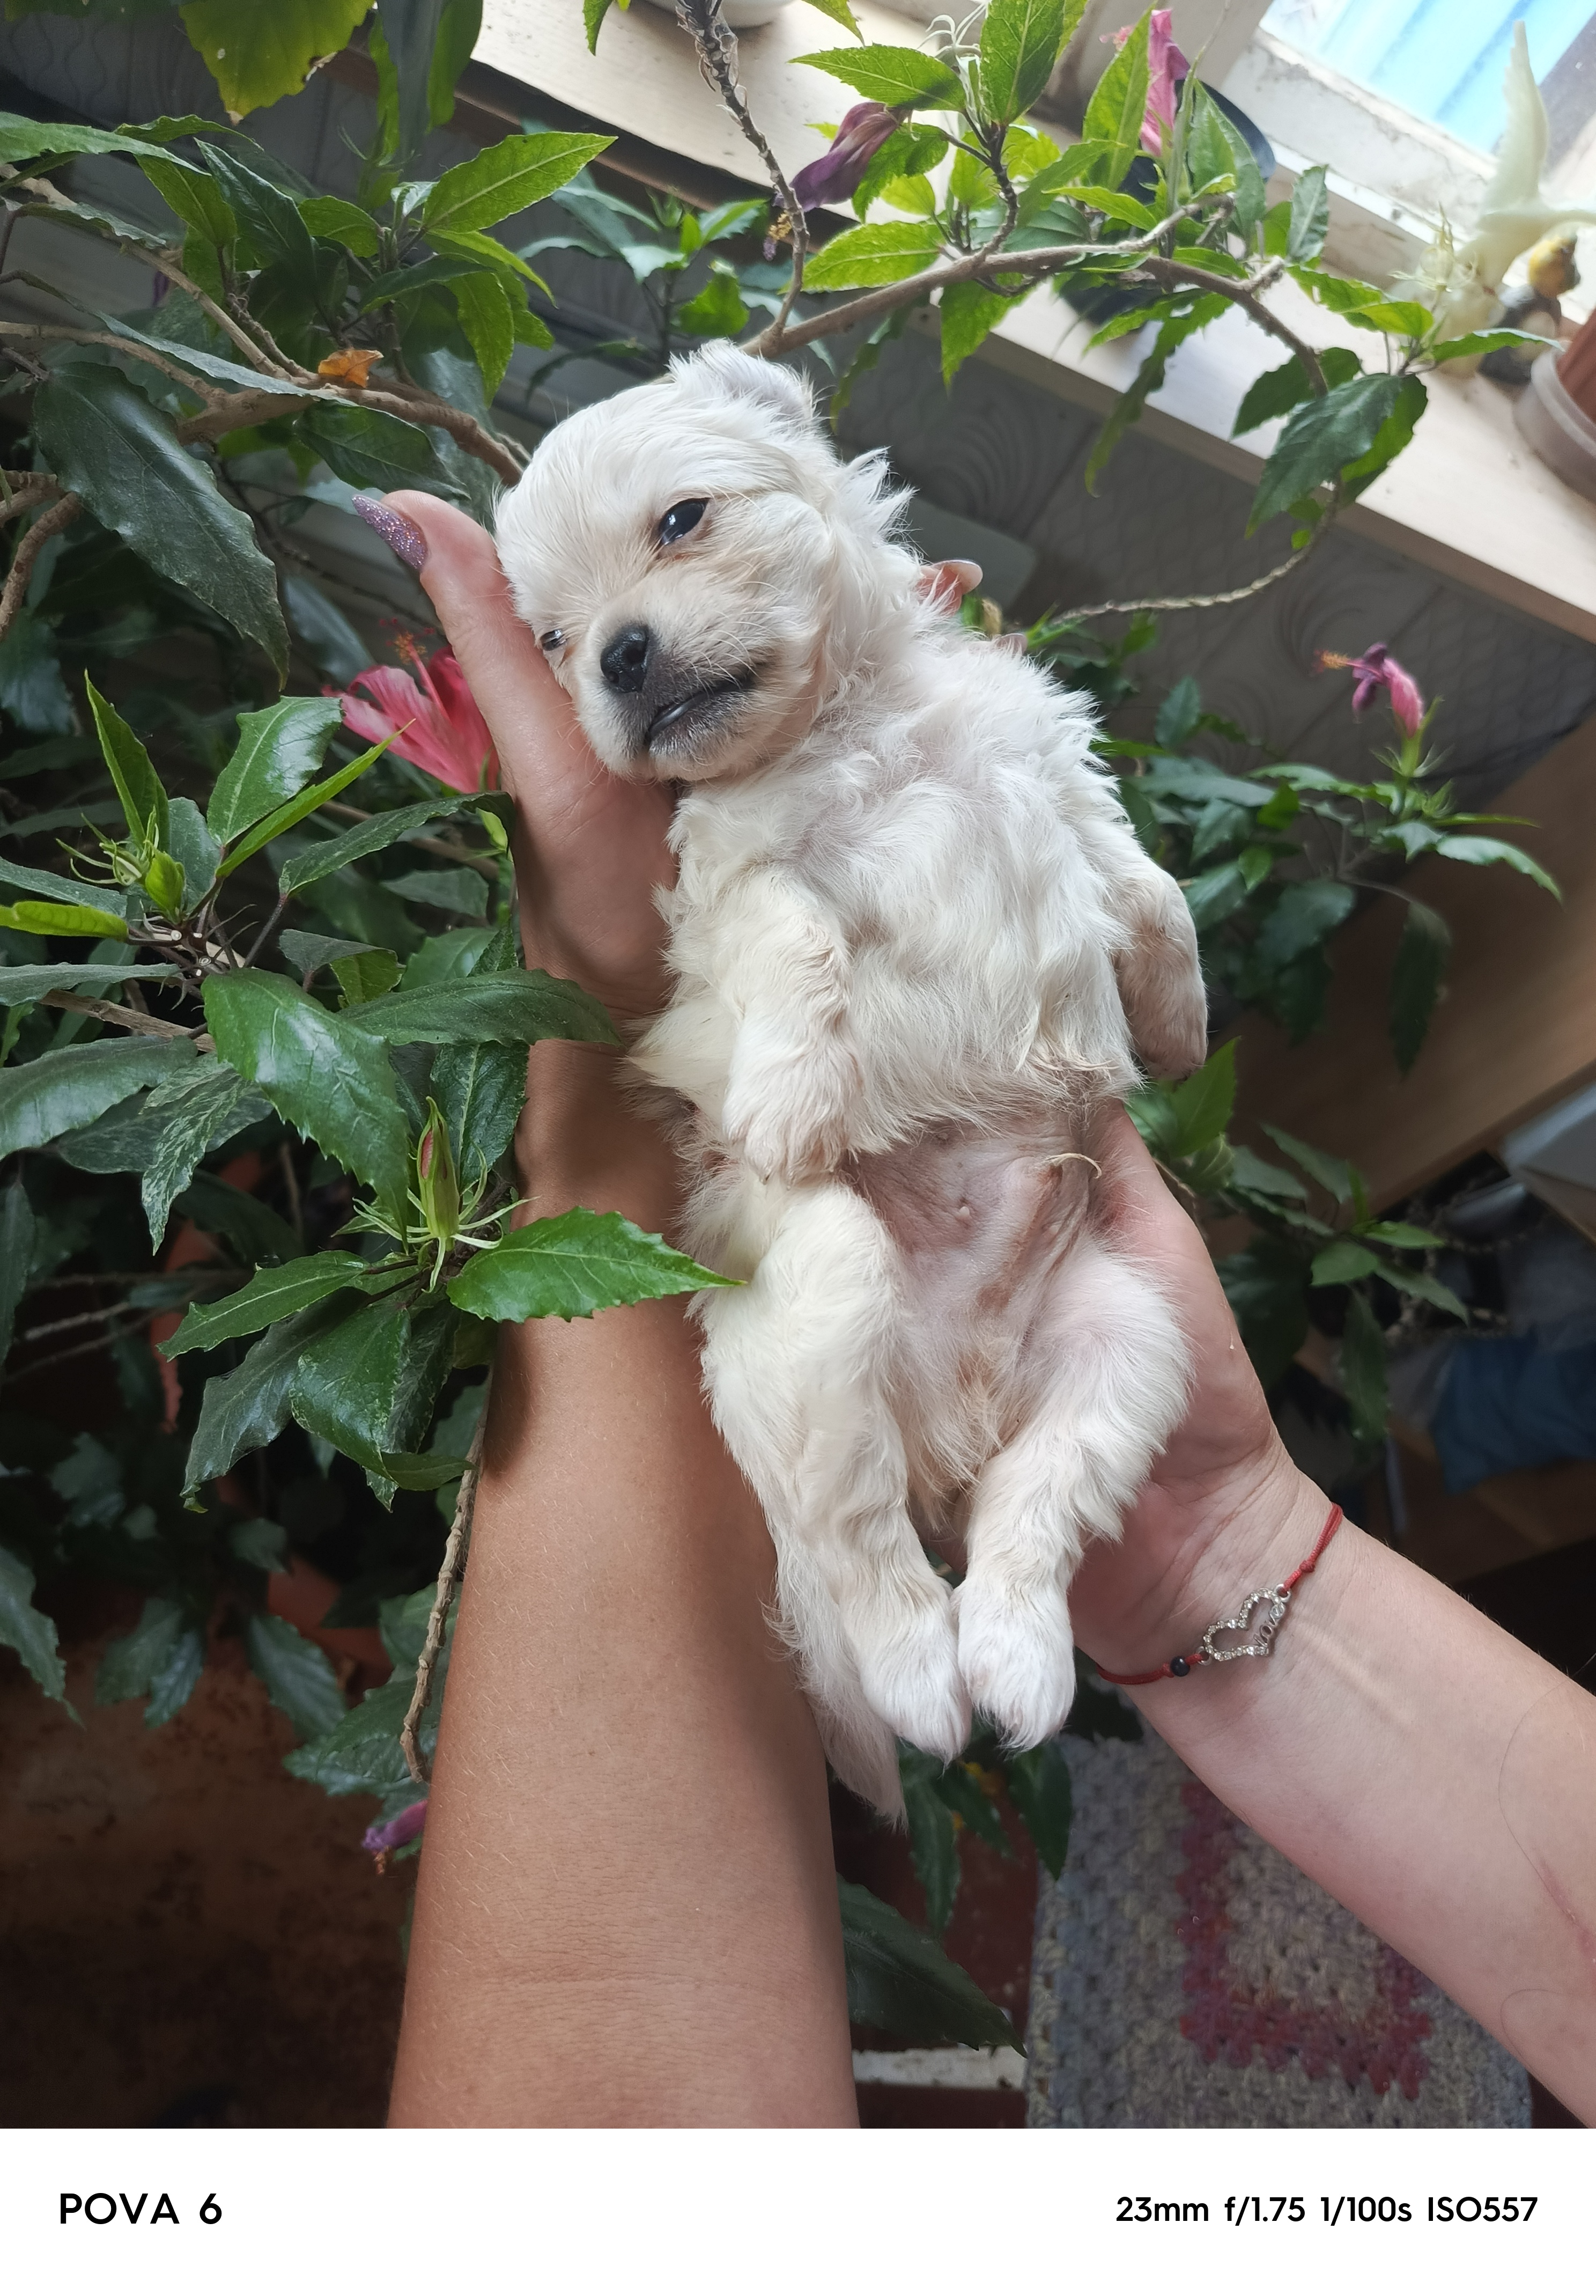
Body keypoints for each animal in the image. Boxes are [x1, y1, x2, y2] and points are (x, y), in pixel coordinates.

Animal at [496, 344, 1206, 1814]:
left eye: (682, 521)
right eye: (551, 640)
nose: (619, 653)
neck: (857, 724)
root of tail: (950, 1409)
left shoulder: (1053, 790)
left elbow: (1145, 884)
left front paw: (1180, 1020)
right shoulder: (732, 903)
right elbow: (799, 930)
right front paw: (793, 1099)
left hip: (1131, 1342)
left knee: (1032, 1516)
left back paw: (1016, 1661)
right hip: (829, 1287)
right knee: (856, 1541)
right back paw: (925, 1680)